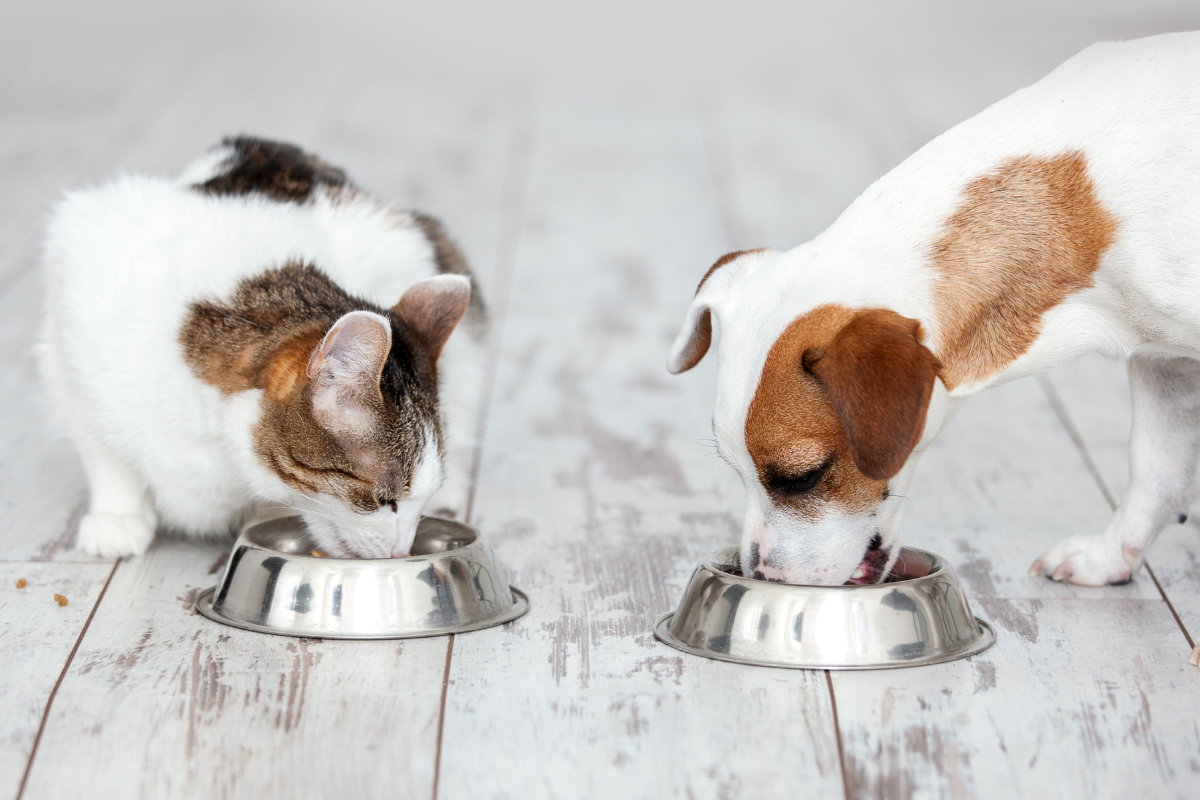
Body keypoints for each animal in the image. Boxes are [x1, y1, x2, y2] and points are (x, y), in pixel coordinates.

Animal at [38, 136, 487, 556]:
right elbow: (101, 447)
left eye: (416, 500)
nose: (401, 551)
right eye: (385, 500)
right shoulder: (71, 320)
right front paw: (117, 513)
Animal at [667, 31, 1200, 666]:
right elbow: (1155, 468)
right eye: (734, 469)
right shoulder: (1163, 362)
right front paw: (1109, 554)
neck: (1083, 200)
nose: (763, 579)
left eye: (803, 477)